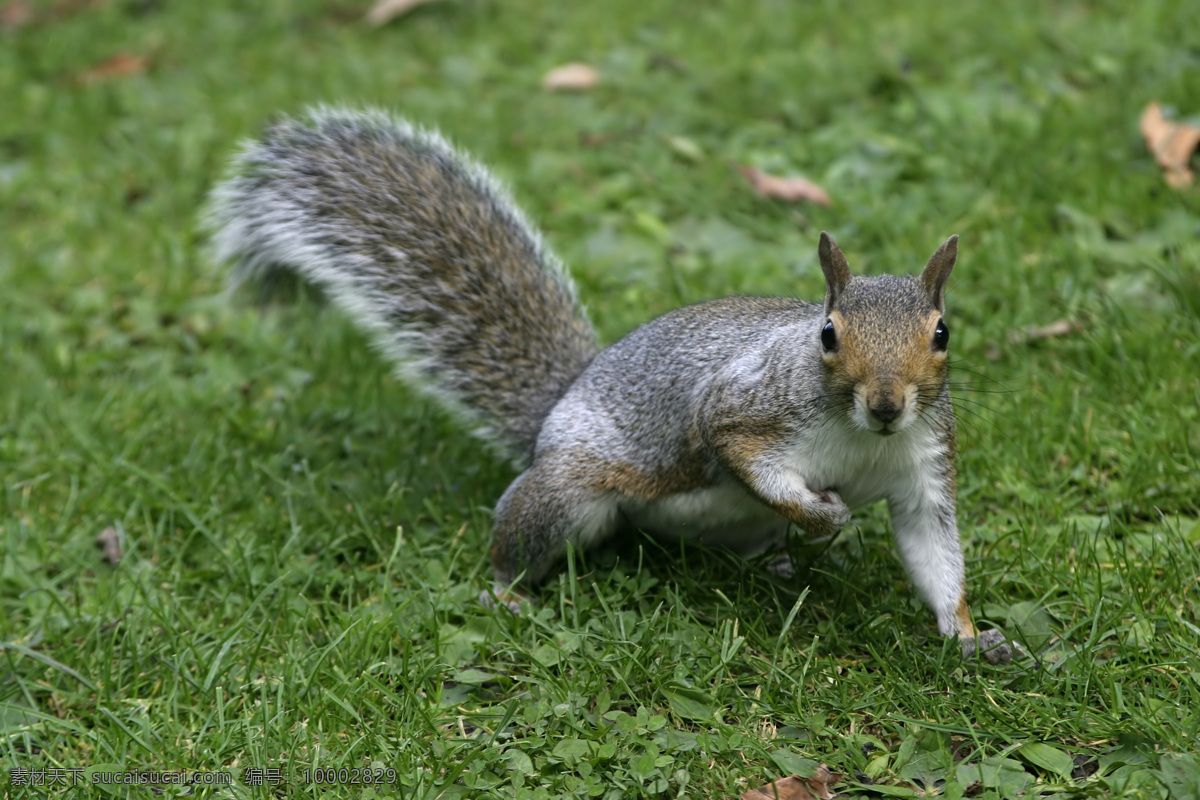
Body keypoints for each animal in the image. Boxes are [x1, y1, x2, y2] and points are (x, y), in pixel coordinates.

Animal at [206, 109, 1012, 666]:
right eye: (828, 334)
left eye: (943, 333)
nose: (886, 404)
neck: (859, 437)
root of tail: (551, 414)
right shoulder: (742, 408)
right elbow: (744, 457)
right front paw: (823, 516)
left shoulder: (923, 468)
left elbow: (934, 554)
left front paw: (970, 636)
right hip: (567, 494)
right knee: (523, 536)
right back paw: (506, 591)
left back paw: (777, 564)